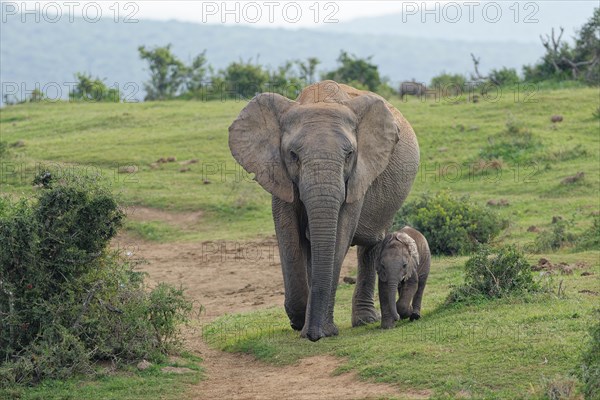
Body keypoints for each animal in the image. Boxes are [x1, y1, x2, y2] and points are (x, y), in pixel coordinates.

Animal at [227, 80, 420, 340]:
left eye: (349, 155)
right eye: (293, 155)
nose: (313, 335)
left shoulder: (360, 173)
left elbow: (341, 231)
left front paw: (321, 330)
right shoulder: (279, 173)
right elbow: (288, 232)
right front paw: (300, 322)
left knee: (371, 245)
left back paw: (365, 320)